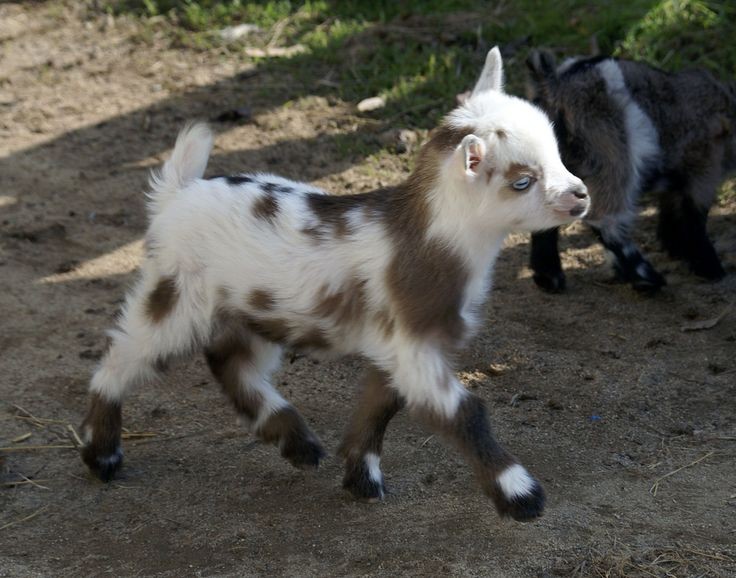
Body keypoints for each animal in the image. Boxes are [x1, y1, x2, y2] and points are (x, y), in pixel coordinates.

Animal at [528, 49, 732, 292]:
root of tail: (554, 85)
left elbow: (672, 210)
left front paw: (674, 248)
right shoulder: (704, 166)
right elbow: (694, 216)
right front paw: (710, 267)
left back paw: (549, 277)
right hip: (613, 154)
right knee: (605, 218)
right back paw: (645, 277)